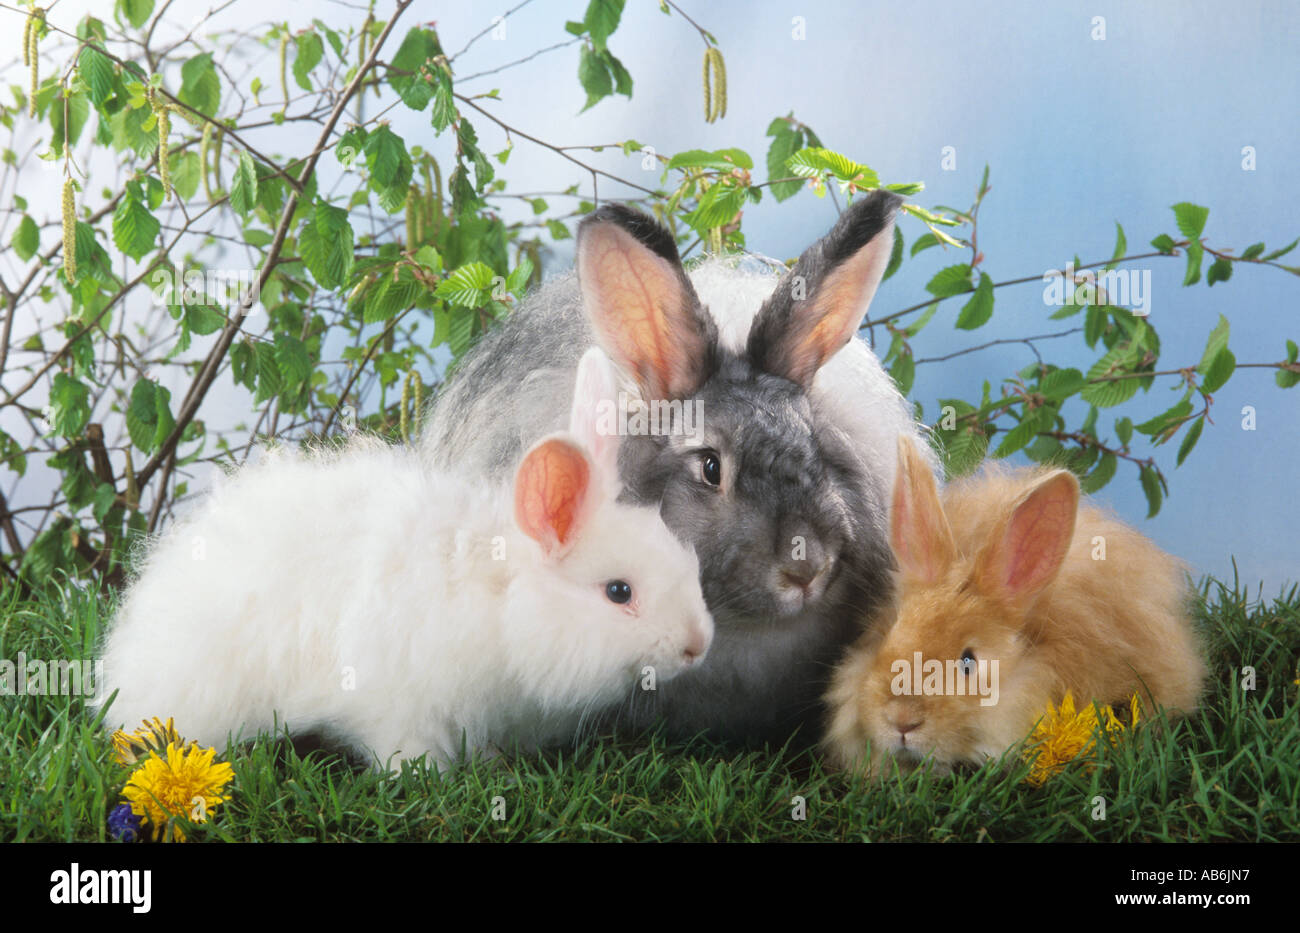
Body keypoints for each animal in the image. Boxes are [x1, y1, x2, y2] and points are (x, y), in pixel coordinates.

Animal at [96, 348, 717, 769]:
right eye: (619, 592)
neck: (498, 599)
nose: (697, 646)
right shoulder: (398, 706)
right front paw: (425, 779)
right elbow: (406, 753)